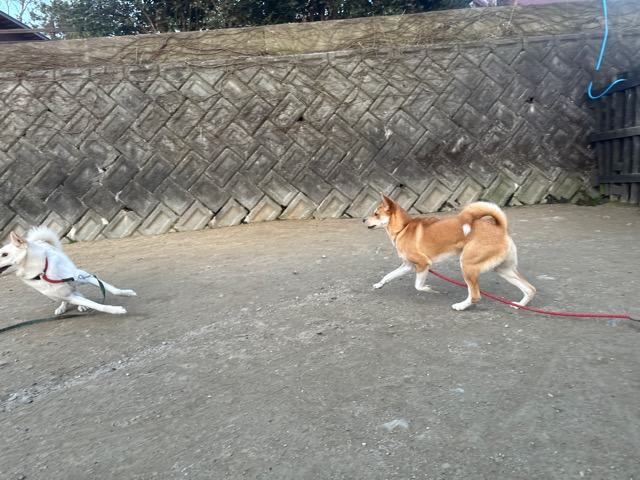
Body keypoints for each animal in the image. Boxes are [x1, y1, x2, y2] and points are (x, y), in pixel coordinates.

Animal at [0, 226, 136, 315]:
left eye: (4, 254)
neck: (43, 272)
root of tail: (40, 241)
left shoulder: (85, 276)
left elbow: (112, 289)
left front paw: (126, 293)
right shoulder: (68, 296)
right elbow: (95, 305)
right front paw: (115, 310)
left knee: (78, 292)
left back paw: (81, 305)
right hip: (58, 295)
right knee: (71, 296)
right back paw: (63, 307)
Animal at [364, 195, 535, 311]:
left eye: (376, 214)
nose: (363, 220)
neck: (403, 228)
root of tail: (500, 227)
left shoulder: (423, 264)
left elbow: (418, 285)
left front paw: (430, 289)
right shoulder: (408, 266)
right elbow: (389, 276)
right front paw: (379, 284)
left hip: (467, 266)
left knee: (475, 295)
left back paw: (460, 306)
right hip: (502, 269)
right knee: (530, 289)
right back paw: (519, 305)